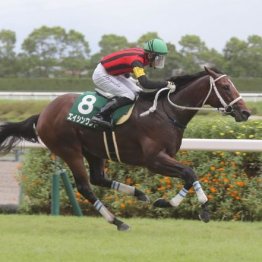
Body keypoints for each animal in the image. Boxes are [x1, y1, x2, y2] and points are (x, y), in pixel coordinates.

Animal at [0, 67, 250, 229]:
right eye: (226, 87)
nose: (245, 112)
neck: (166, 112)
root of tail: (43, 113)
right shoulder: (154, 160)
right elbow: (190, 172)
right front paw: (198, 207)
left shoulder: (166, 157)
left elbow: (189, 175)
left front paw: (170, 203)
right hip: (69, 150)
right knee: (85, 187)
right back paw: (117, 221)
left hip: (93, 151)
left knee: (98, 178)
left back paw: (138, 194)